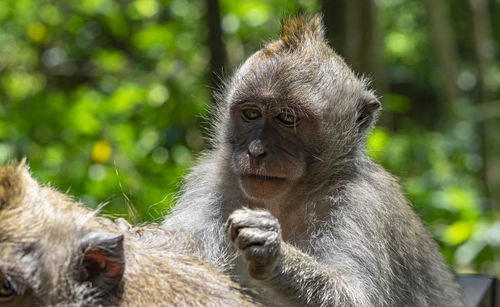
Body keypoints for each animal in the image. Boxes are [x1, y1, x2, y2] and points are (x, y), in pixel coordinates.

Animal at [162, 13, 462, 306]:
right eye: (251, 114)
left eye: (287, 118)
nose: (256, 150)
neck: (287, 199)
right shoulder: (207, 184)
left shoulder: (363, 201)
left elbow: (356, 297)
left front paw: (273, 251)